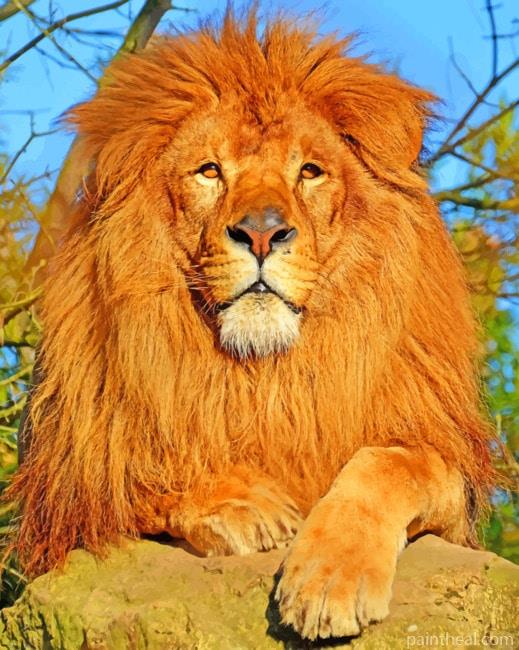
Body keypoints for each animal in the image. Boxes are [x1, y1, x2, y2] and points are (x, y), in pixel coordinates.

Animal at [9, 11, 496, 641]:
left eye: (309, 171)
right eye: (209, 171)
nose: (262, 234)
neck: (265, 376)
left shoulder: (448, 482)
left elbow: (389, 464)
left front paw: (331, 578)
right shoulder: (66, 492)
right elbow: (138, 474)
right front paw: (243, 505)